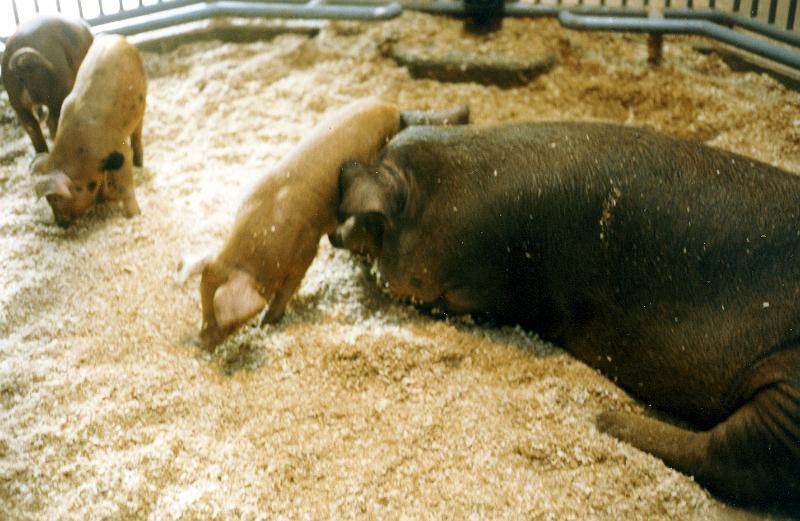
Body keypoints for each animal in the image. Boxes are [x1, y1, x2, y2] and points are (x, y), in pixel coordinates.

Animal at [1, 15, 93, 153]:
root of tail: (20, 63)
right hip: (57, 92)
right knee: (52, 122)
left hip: (16, 99)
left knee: (31, 126)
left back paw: (42, 153)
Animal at [30, 34, 146, 227]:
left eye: (54, 199)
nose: (61, 224)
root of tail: (118, 37)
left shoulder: (119, 150)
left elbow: (125, 185)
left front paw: (134, 215)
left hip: (143, 102)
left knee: (137, 133)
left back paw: (140, 163)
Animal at [175, 98, 469, 350]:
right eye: (202, 302)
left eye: (220, 316)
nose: (200, 342)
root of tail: (394, 109)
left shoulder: (306, 248)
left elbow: (289, 286)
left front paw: (267, 322)